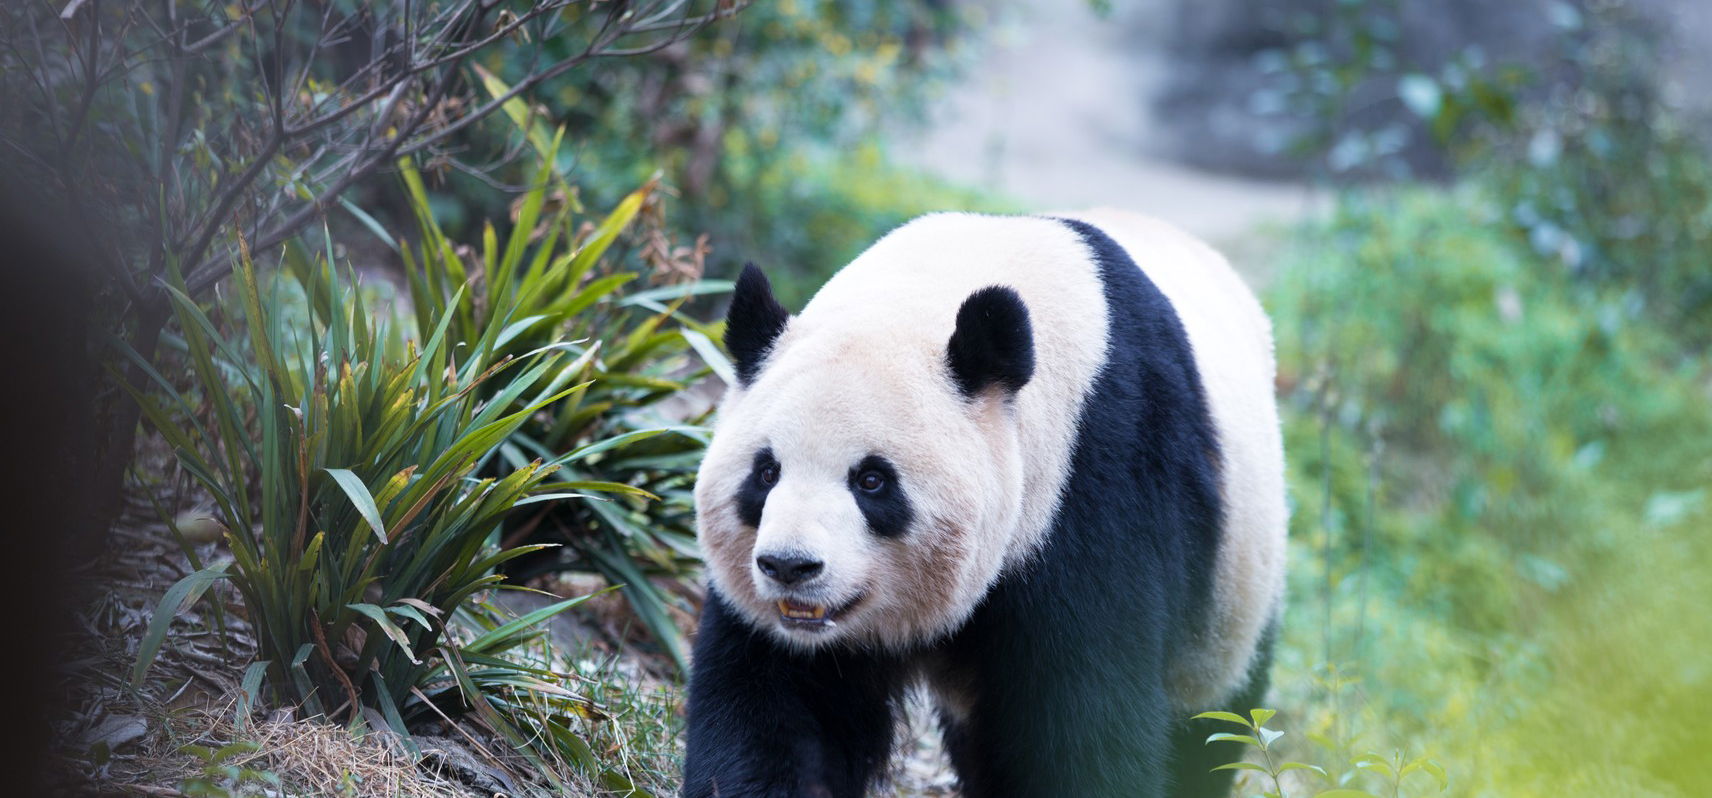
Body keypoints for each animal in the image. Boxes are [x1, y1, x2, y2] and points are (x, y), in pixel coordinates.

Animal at [681, 210, 1287, 798]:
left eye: (872, 481)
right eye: (766, 473)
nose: (790, 566)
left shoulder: (1099, 483)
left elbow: (1086, 721)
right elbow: (776, 706)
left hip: (1234, 595)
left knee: (1210, 724)